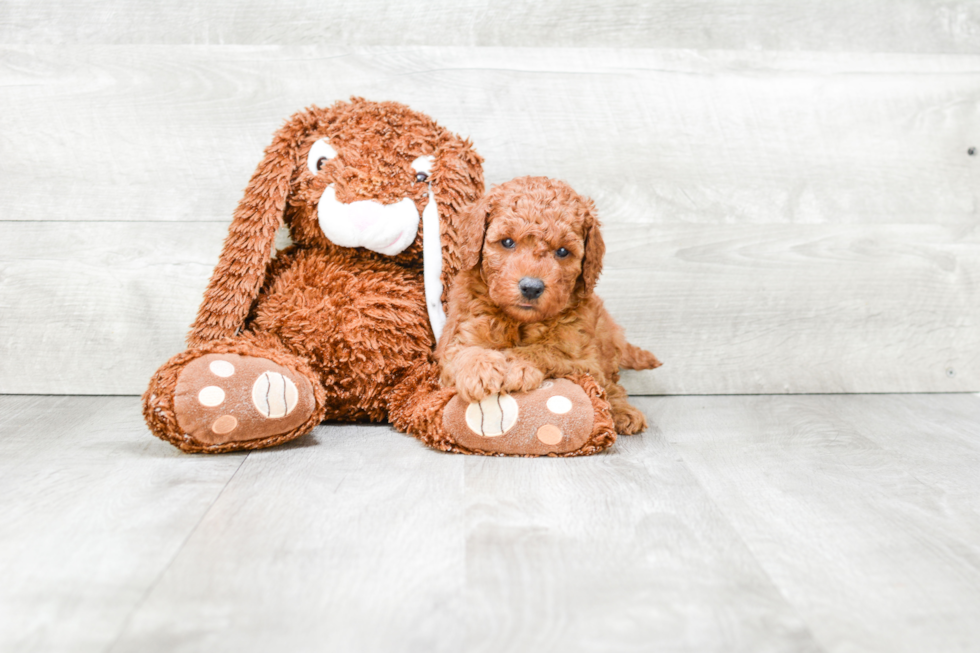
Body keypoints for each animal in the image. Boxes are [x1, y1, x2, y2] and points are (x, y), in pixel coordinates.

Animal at [440, 176, 664, 436]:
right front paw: (479, 370)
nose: (531, 287)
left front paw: (516, 364)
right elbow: (464, 352)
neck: (519, 321)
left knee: (611, 386)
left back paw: (624, 412)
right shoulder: (457, 336)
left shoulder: (583, 358)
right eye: (507, 242)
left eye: (563, 251)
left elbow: (547, 350)